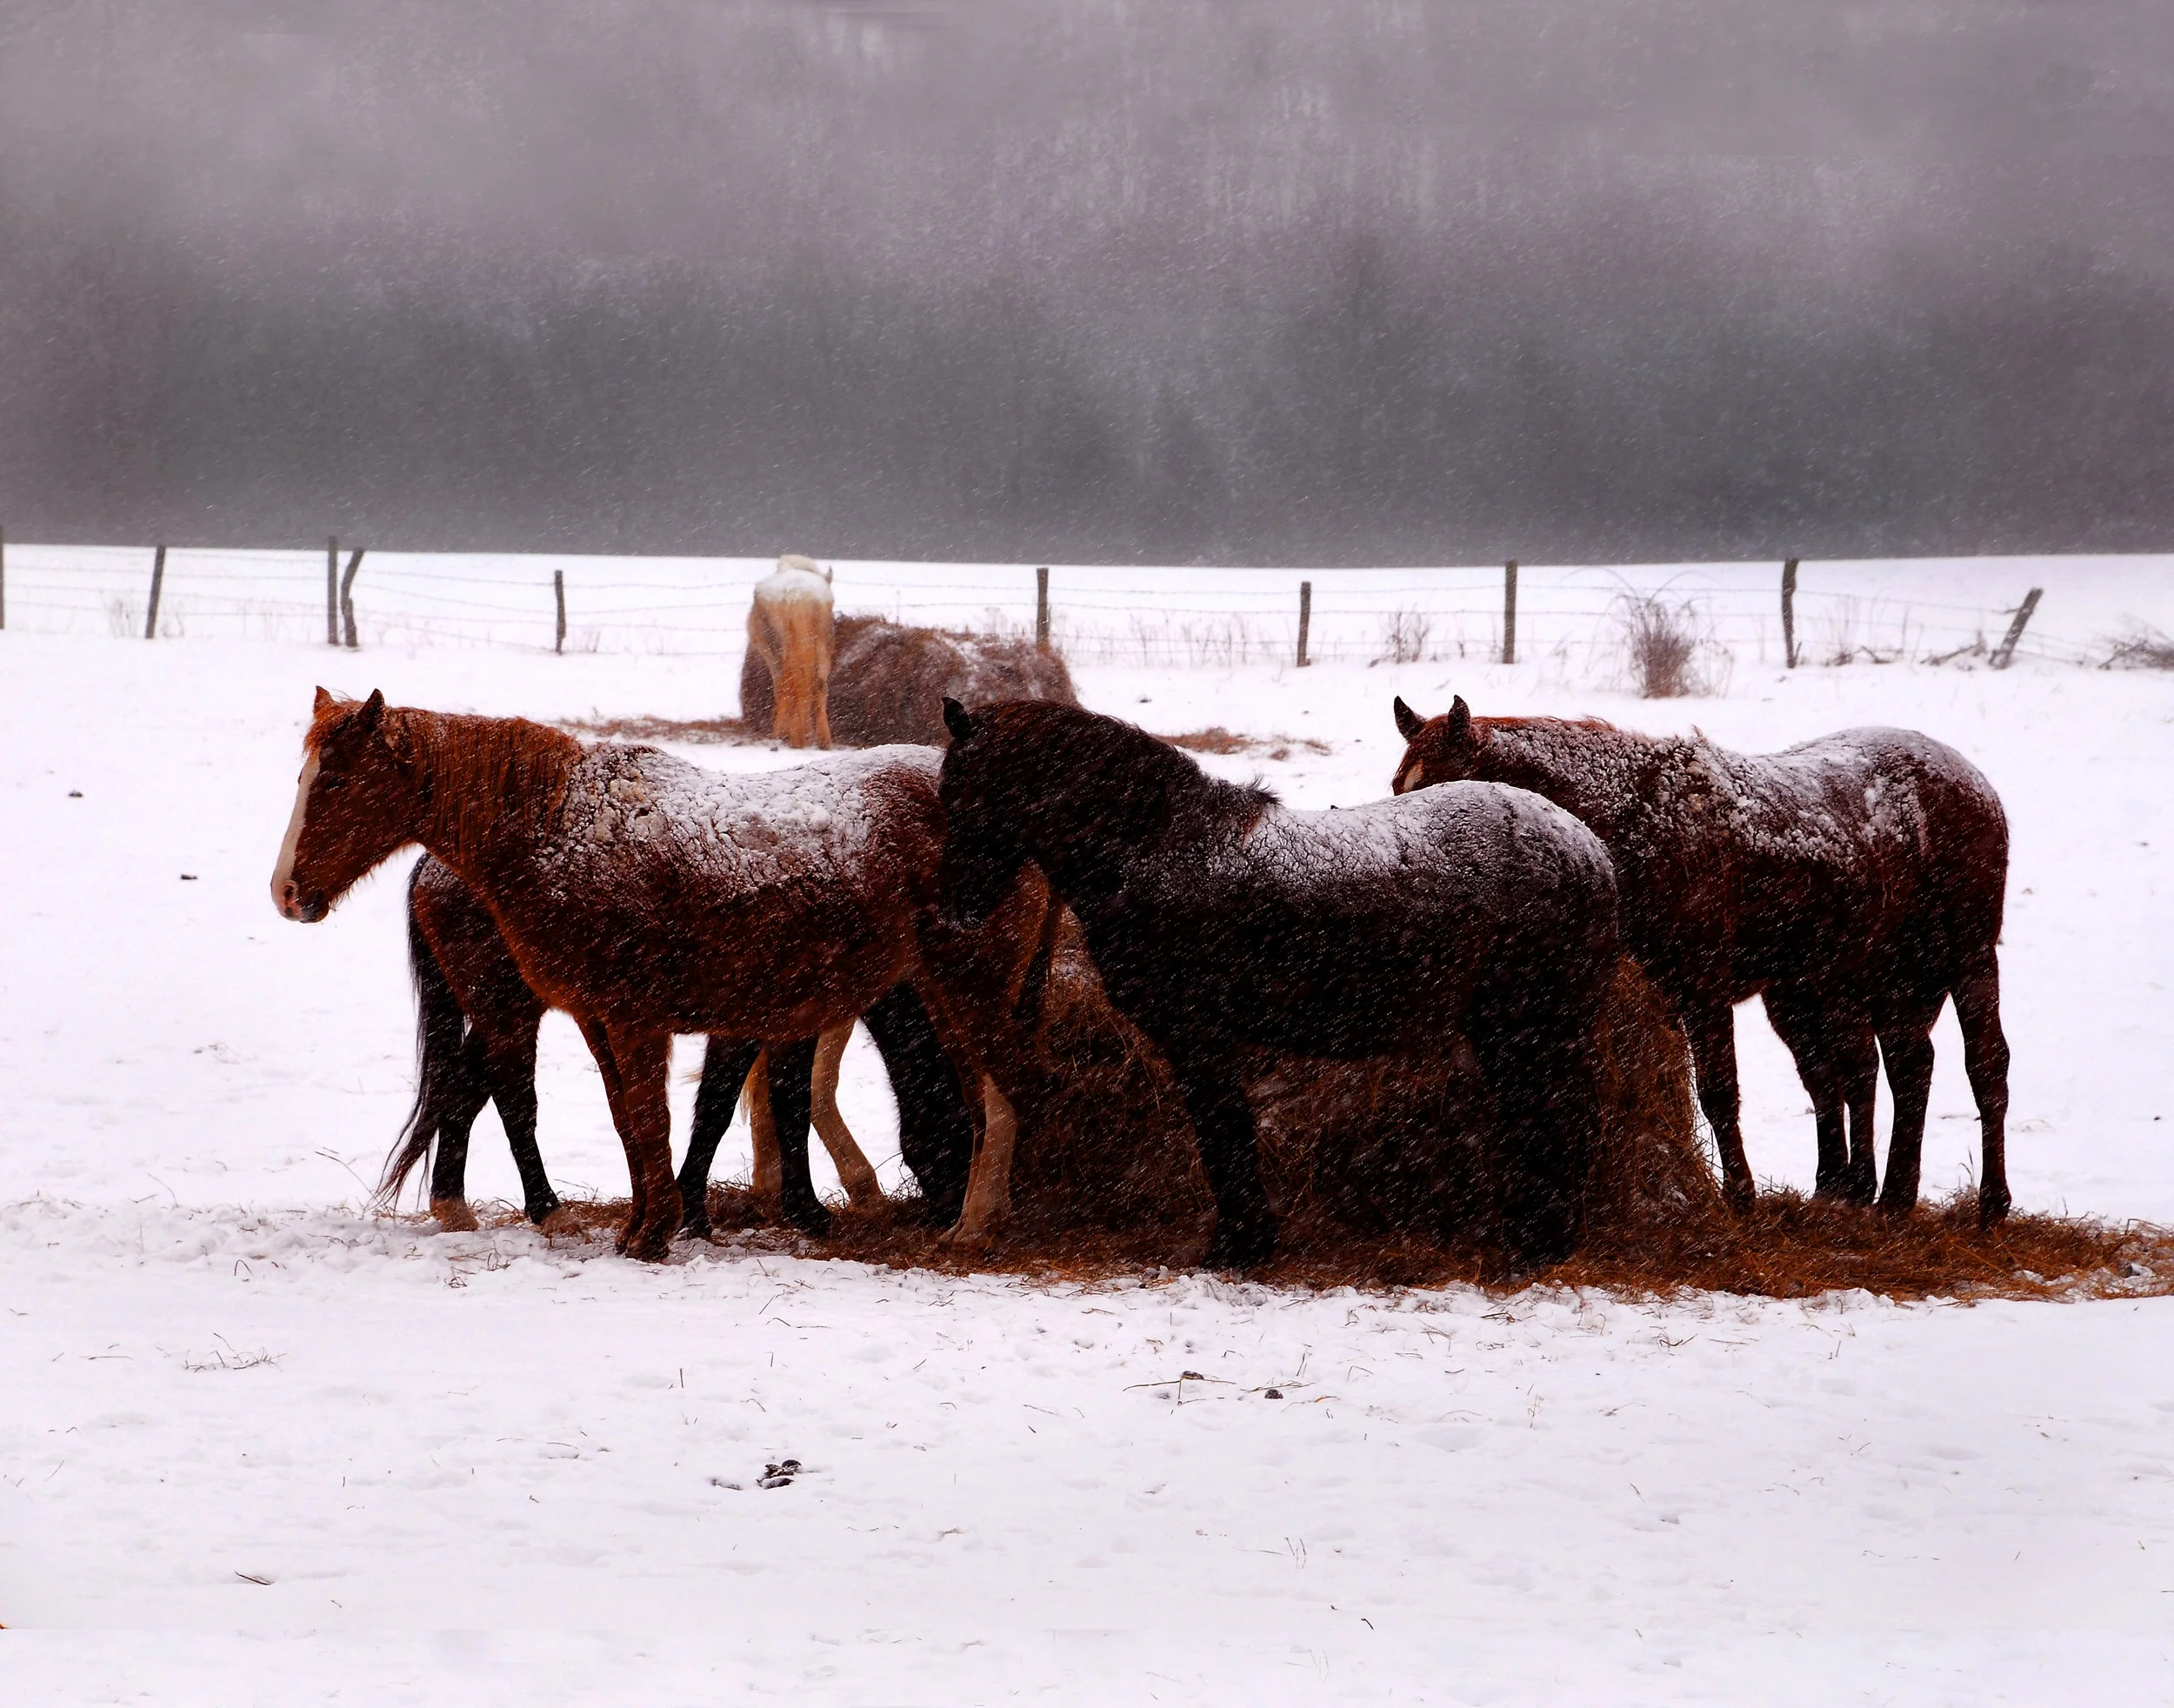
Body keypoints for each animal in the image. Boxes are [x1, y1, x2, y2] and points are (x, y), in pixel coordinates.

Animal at [387, 856, 977, 1234]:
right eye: (955, 1126)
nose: (948, 1213)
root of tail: (434, 865)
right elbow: (757, 1103)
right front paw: (794, 1211)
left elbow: (753, 1101)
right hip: (508, 1009)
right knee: (510, 1099)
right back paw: (544, 1207)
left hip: (505, 1012)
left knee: (461, 1089)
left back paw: (453, 1202)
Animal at [746, 555, 835, 748]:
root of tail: (799, 593)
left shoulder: (771, 655)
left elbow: (780, 686)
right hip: (823, 646)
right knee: (818, 684)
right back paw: (821, 740)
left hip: (786, 647)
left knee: (790, 684)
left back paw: (789, 736)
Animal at [935, 698, 1620, 1272]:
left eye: (965, 794)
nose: (955, 908)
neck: (1157, 850)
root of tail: (1588, 850)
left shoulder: (1198, 1038)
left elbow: (1223, 1136)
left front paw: (1238, 1248)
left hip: (1528, 1027)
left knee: (1558, 1118)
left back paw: (1537, 1246)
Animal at [1390, 696, 2012, 1225]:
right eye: (1399, 785)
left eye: (1445, 785)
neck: (1634, 823)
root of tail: (1976, 784)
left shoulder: (1704, 988)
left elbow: (1718, 1093)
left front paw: (1740, 1198)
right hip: (1844, 982)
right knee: (1881, 1069)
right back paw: (1870, 1195)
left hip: (1960, 960)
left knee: (1979, 1066)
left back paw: (1984, 1203)